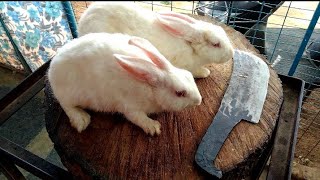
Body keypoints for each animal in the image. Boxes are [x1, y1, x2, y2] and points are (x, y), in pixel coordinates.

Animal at [47, 32, 202, 136]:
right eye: (180, 93)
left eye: (189, 75)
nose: (199, 100)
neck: (150, 88)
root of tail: (52, 68)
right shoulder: (130, 107)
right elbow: (138, 118)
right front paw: (154, 127)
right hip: (69, 95)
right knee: (66, 106)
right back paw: (81, 120)